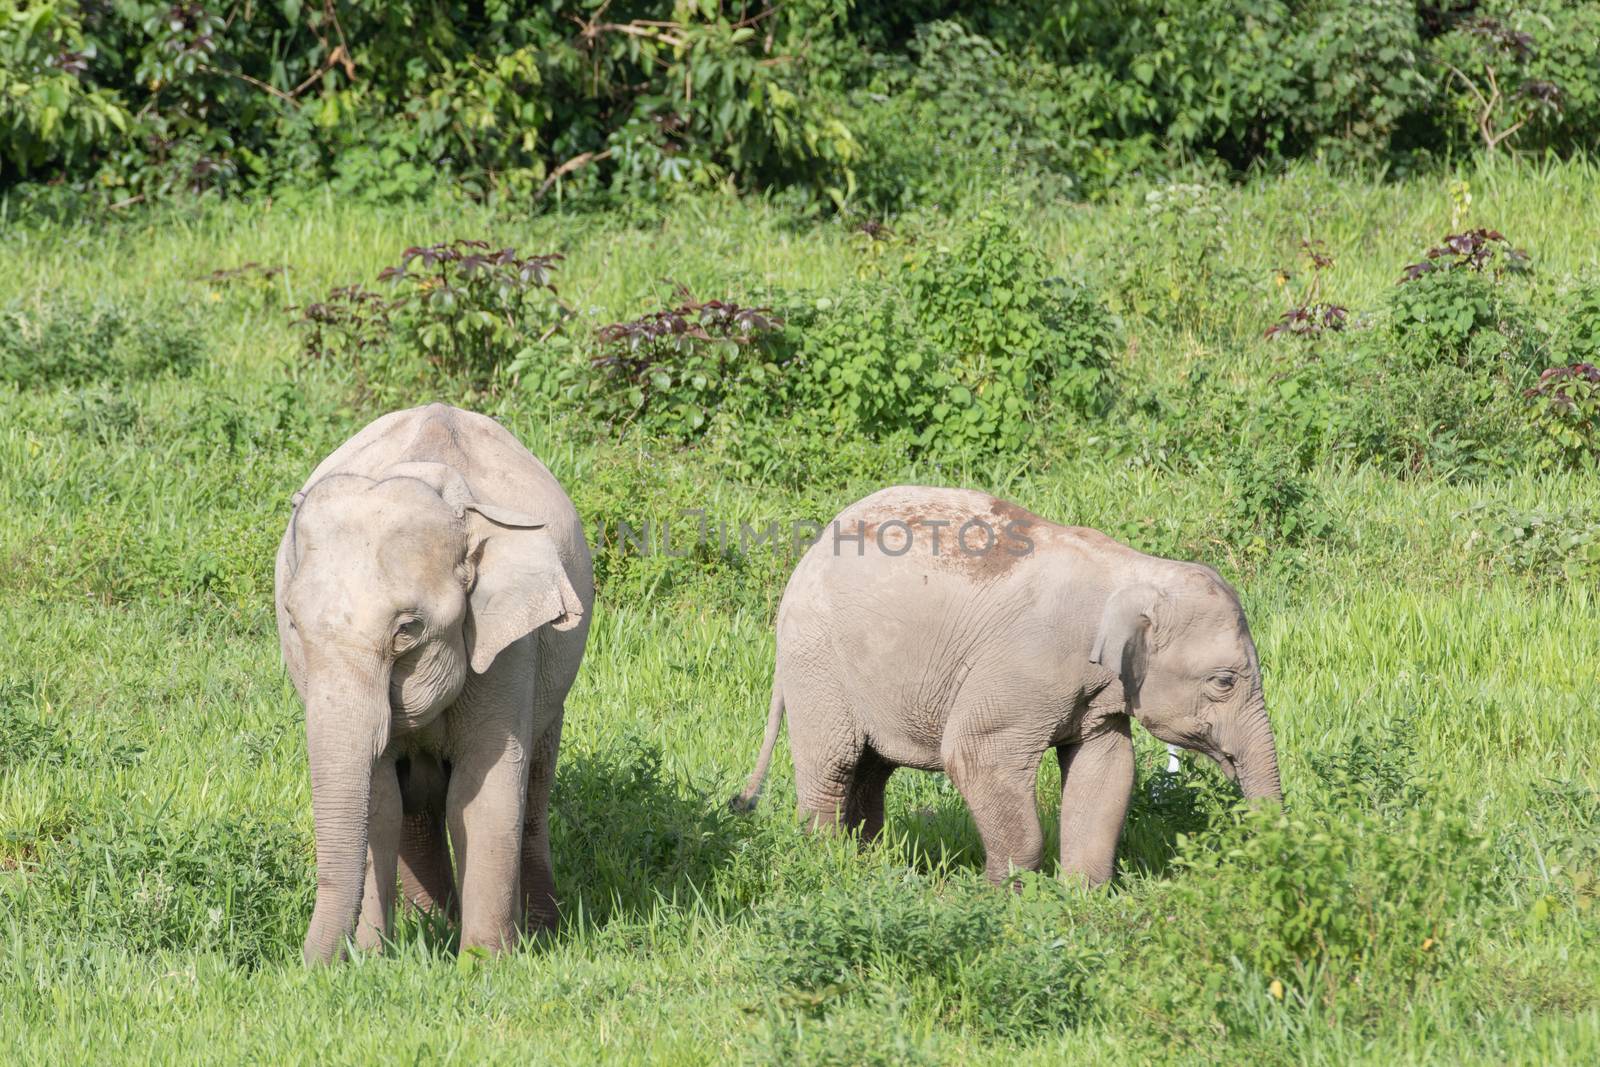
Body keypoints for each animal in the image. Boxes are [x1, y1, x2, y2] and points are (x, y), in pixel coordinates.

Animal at [275, 403, 595, 966]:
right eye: (292, 621)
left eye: (408, 628)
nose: (304, 970)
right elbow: (379, 799)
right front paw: (373, 960)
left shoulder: (509, 646)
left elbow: (483, 789)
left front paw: (485, 964)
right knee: (417, 807)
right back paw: (432, 927)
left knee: (534, 789)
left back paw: (538, 933)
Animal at [732, 483, 1280, 883]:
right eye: (1224, 681)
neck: (1133, 570)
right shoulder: (1026, 665)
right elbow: (974, 753)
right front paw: (1008, 899)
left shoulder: (1098, 692)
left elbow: (1106, 770)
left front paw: (1081, 900)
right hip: (818, 661)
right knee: (834, 765)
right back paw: (828, 866)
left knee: (871, 768)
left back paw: (867, 863)